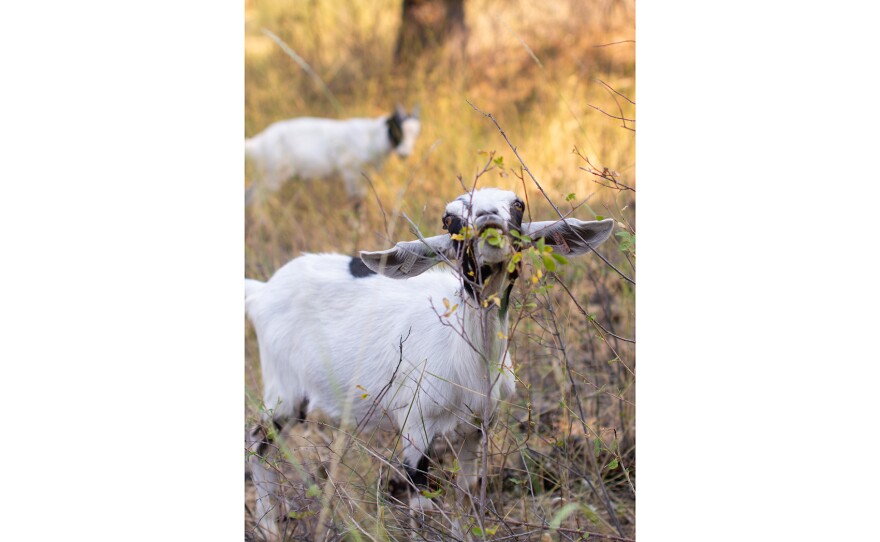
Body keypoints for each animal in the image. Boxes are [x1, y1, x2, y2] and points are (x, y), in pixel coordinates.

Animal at [244, 105, 421, 204]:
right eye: (398, 130)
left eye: (416, 134)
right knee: (256, 202)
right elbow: (356, 202)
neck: (372, 137)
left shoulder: (363, 177)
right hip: (272, 177)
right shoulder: (349, 171)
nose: (404, 154)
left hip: (264, 176)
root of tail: (258, 142)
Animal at [244, 187, 614, 535]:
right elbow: (423, 507)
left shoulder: (476, 427)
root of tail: (261, 291)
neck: (467, 361)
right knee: (257, 441)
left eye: (518, 204)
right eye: (449, 218)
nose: (487, 218)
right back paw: (268, 526)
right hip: (283, 392)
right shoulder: (415, 425)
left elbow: (467, 492)